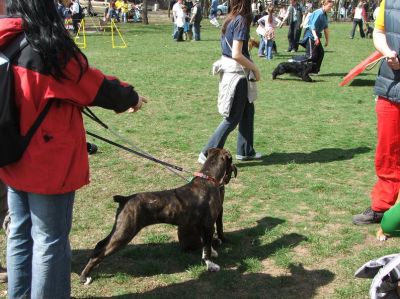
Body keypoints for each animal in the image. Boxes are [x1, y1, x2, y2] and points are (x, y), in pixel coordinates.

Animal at [80, 149, 238, 284]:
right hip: (124, 233)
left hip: (119, 228)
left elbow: (206, 244)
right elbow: (206, 249)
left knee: (100, 245)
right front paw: (211, 265)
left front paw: (212, 253)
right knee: (101, 252)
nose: (235, 171)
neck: (208, 178)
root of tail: (124, 199)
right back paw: (84, 276)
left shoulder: (201, 225)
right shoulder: (208, 224)